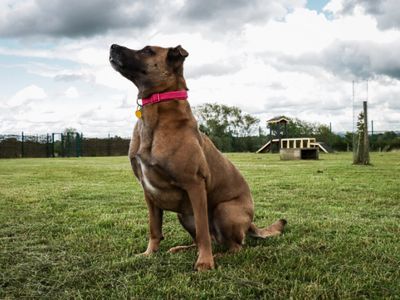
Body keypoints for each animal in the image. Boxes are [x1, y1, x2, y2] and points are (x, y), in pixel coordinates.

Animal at [108, 43, 286, 270]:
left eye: (147, 50)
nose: (112, 46)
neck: (157, 113)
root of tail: (250, 222)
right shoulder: (148, 193)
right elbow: (154, 229)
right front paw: (149, 254)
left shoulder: (195, 185)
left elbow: (203, 232)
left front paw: (205, 262)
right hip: (184, 215)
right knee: (208, 240)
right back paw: (182, 249)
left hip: (224, 210)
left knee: (233, 246)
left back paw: (217, 256)